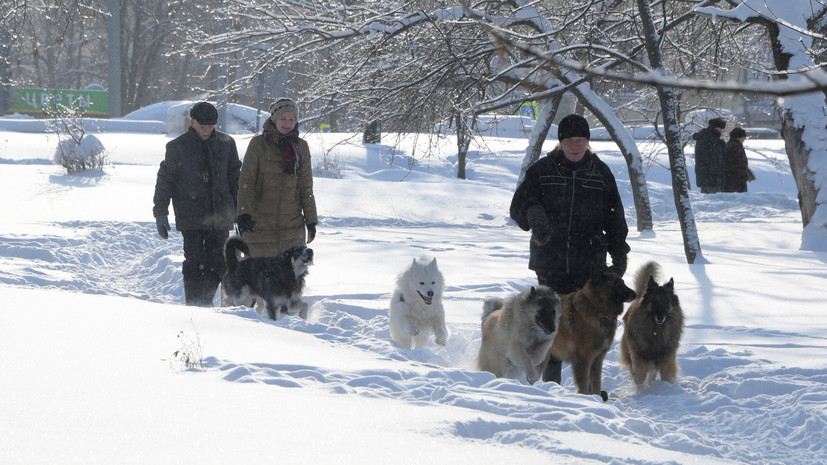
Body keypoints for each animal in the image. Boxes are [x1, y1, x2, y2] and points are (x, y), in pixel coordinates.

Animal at [548, 268, 636, 398]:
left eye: (623, 282)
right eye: (617, 284)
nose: (635, 294)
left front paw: (597, 398)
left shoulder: (597, 359)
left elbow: (596, 384)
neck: (598, 309)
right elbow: (584, 385)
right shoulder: (583, 359)